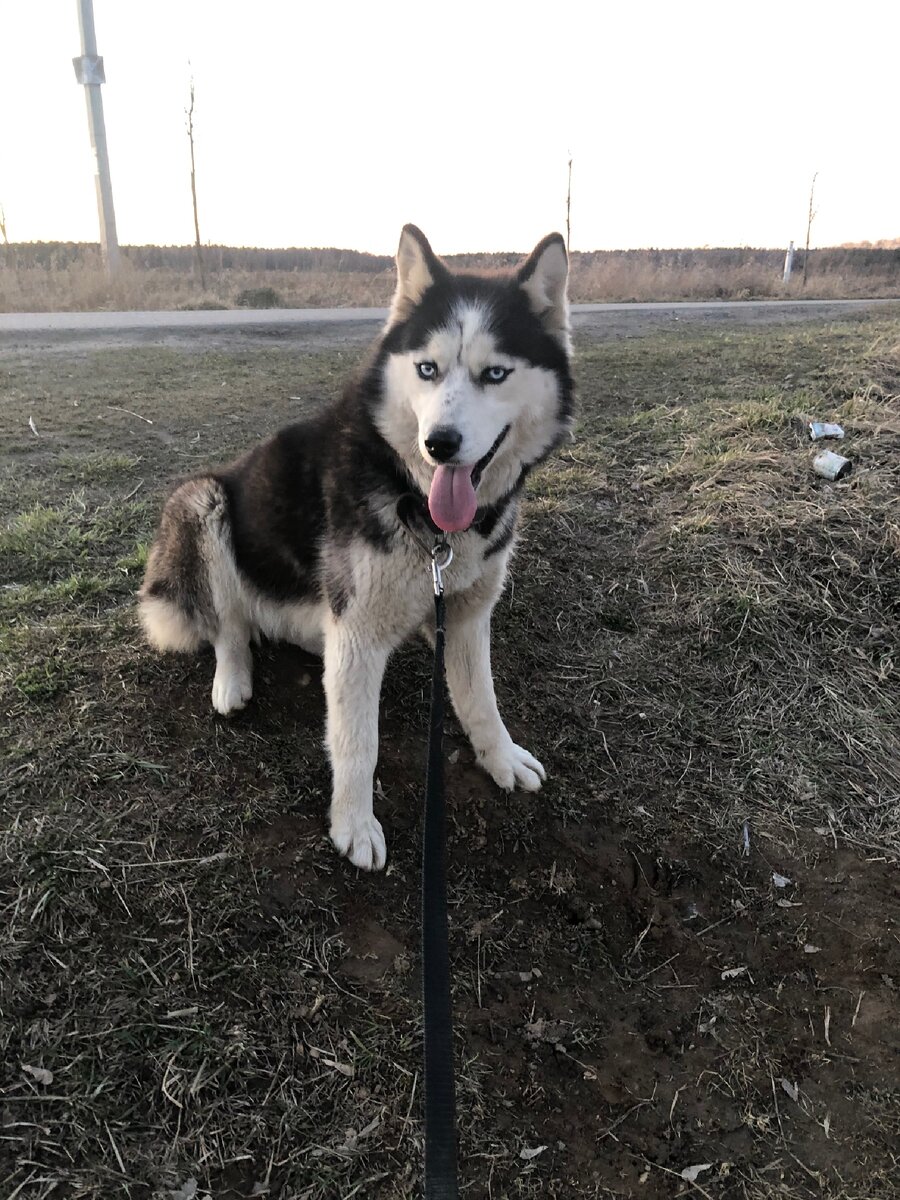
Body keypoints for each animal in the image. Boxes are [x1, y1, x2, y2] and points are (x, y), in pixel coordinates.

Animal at [141, 225, 578, 868]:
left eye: (495, 374)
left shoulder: (467, 614)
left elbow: (481, 696)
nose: (439, 444)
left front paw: (499, 756)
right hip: (201, 500)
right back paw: (232, 678)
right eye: (427, 369)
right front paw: (353, 824)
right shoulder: (356, 631)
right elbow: (356, 740)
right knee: (229, 627)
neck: (422, 508)